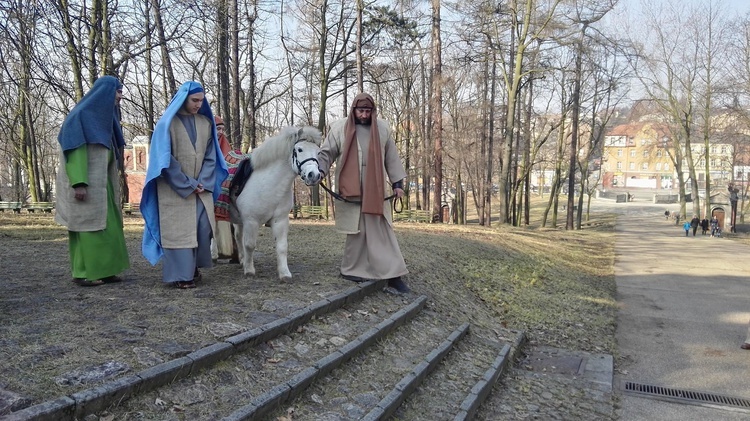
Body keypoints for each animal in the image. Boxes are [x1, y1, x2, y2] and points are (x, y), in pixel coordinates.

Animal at [229, 126, 324, 280]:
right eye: (299, 149)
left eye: (318, 152)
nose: (314, 175)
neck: (269, 184)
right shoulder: (251, 221)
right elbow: (249, 244)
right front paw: (249, 270)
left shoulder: (280, 220)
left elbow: (282, 247)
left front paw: (284, 273)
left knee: (237, 236)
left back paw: (242, 260)